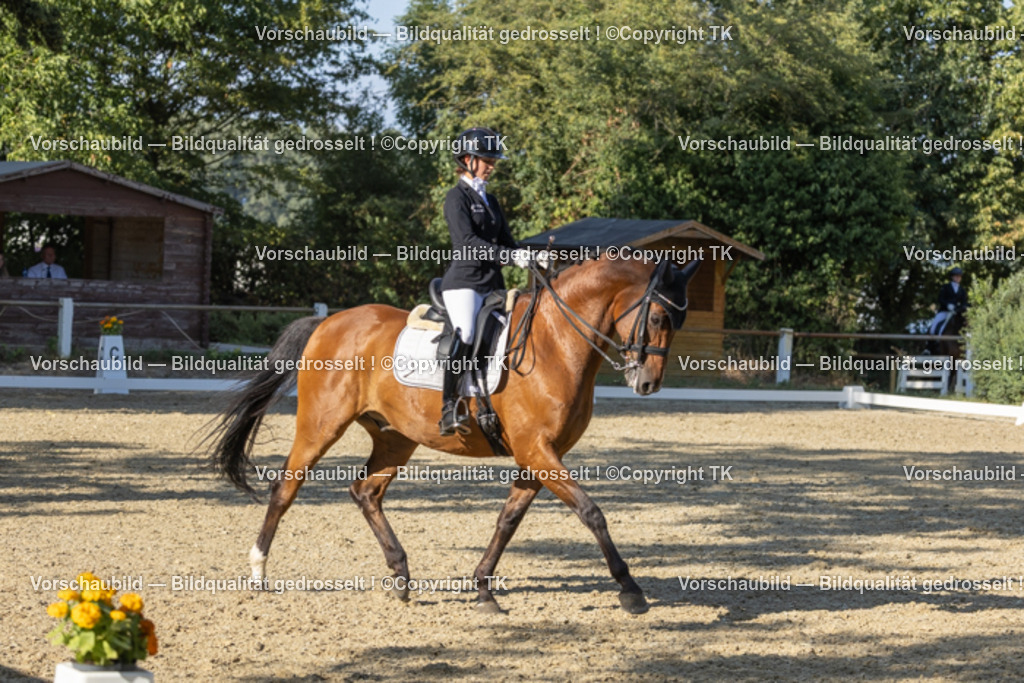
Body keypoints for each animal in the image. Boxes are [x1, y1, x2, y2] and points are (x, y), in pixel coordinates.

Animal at [208, 255, 700, 614]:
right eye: (659, 317)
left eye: (679, 321)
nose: (648, 383)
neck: (557, 342)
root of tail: (329, 323)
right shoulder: (539, 451)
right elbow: (591, 512)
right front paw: (630, 589)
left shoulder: (536, 455)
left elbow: (508, 521)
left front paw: (483, 590)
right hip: (320, 425)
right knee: (285, 487)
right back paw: (259, 571)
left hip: (395, 438)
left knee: (366, 492)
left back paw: (401, 577)